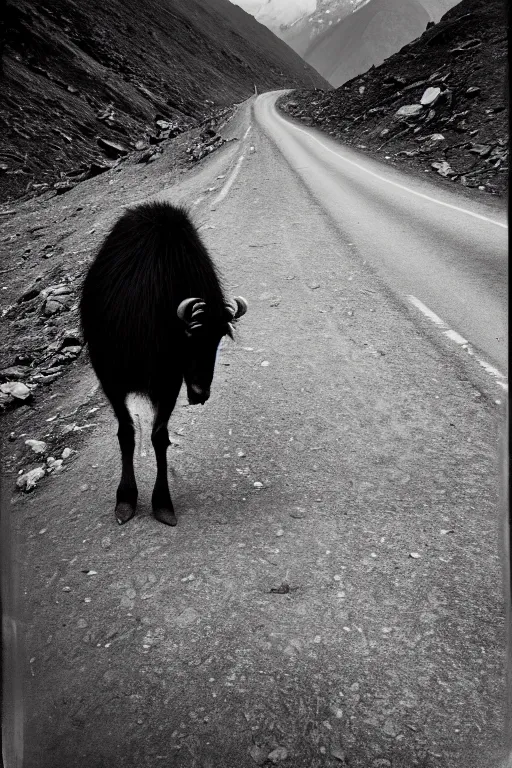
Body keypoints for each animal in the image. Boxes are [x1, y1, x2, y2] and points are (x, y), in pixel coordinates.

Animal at [80, 201, 248, 524]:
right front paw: (125, 499)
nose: (200, 393)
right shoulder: (110, 379)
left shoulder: (169, 384)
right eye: (189, 336)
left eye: (219, 337)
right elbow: (126, 433)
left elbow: (159, 437)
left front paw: (162, 503)